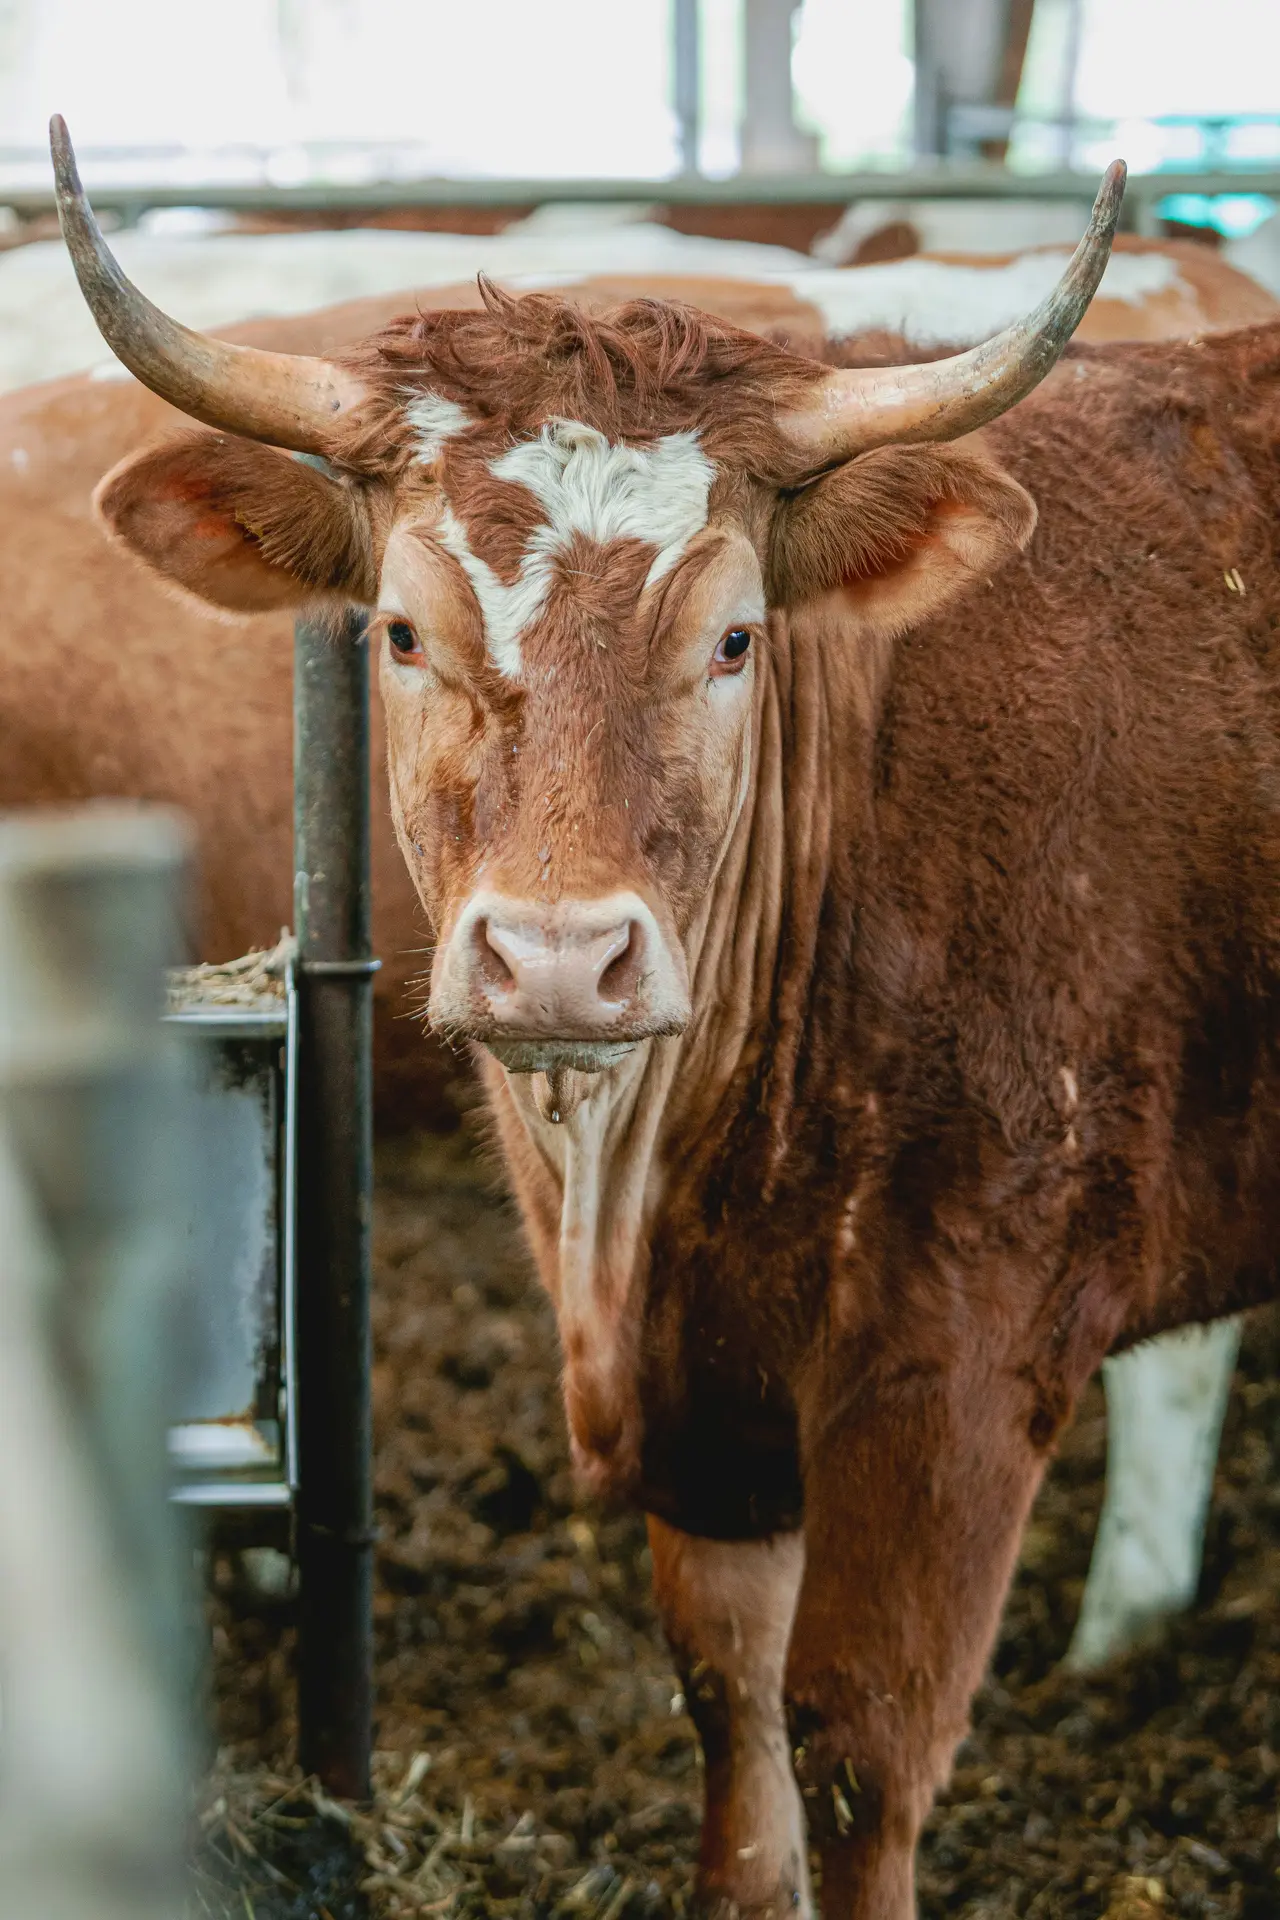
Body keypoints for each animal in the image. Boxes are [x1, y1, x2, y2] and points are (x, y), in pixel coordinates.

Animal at [40, 118, 1280, 1912]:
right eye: (399, 632)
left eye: (736, 640)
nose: (560, 962)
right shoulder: (708, 1418)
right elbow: (732, 1710)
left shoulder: (956, 1367)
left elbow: (856, 1748)